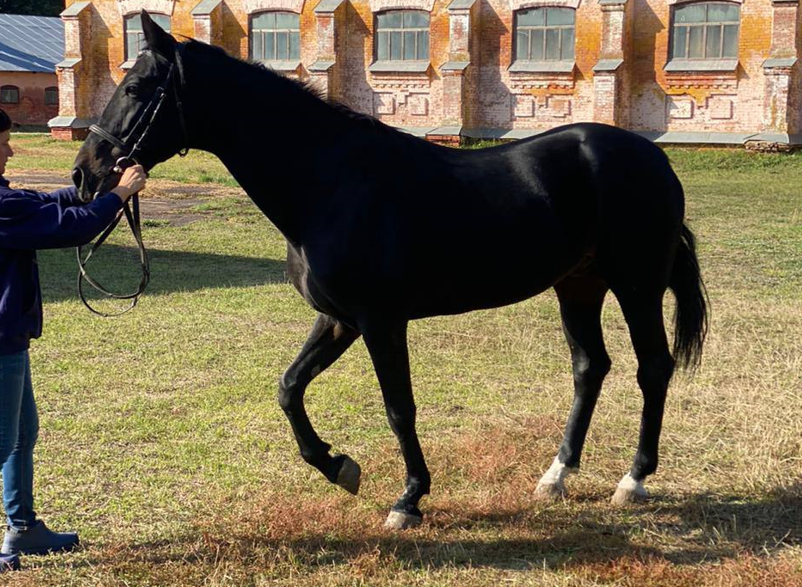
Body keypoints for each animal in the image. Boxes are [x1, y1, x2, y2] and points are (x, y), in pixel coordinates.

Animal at [72, 11, 704, 532]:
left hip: (636, 285)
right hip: (577, 285)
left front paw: (409, 499)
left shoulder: (381, 321)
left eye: (136, 88)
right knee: (589, 367)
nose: (85, 173)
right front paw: (337, 466)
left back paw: (633, 480)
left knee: (653, 367)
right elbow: (289, 388)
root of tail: (653, 158)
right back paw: (556, 476)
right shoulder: (339, 320)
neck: (330, 183)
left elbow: (399, 408)